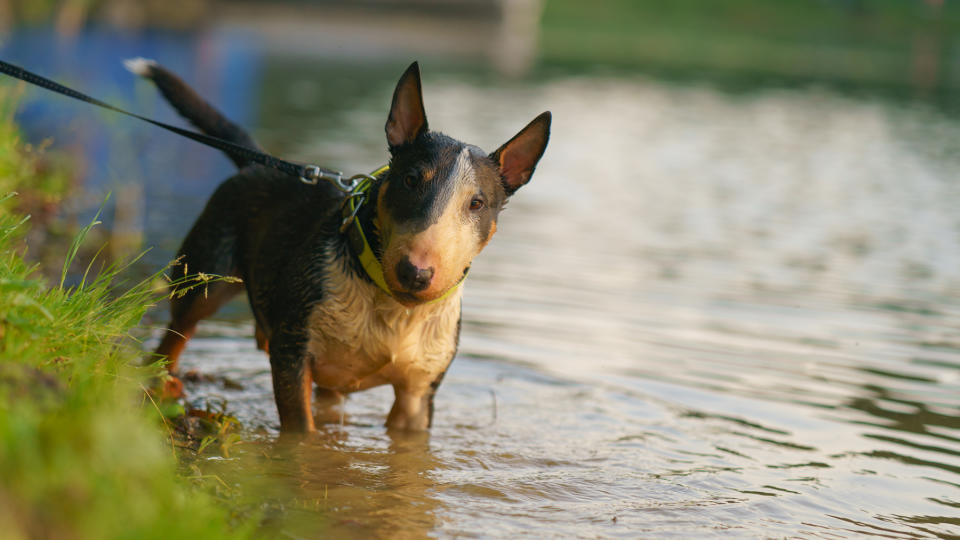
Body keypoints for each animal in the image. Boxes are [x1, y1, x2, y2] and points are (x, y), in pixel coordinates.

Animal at [133, 58, 556, 430]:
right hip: (204, 275)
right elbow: (301, 436)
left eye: (477, 203)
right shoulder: (292, 354)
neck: (393, 309)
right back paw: (163, 384)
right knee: (176, 333)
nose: (415, 273)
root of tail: (258, 162)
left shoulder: (418, 395)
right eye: (410, 180)